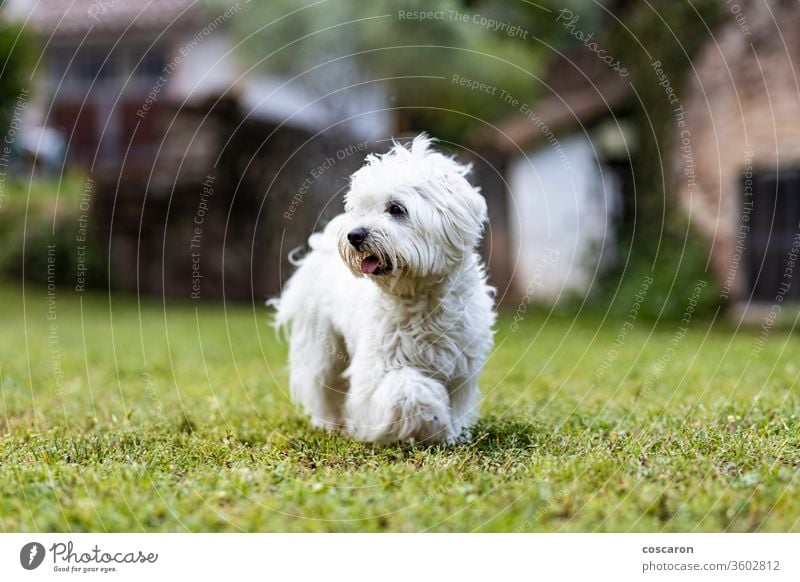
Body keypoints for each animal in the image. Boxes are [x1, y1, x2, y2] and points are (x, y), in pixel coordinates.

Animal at [276, 136, 494, 448]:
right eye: (361, 209)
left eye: (397, 209)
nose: (354, 235)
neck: (418, 297)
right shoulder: (377, 369)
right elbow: (408, 388)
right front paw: (430, 419)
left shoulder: (461, 369)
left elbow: (453, 402)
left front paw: (449, 433)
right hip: (322, 346)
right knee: (324, 386)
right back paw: (331, 424)